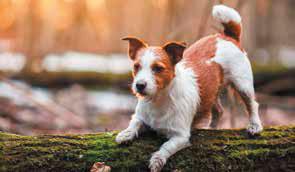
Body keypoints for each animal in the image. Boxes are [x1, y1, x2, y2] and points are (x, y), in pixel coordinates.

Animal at [115, 4, 264, 171]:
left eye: (158, 68)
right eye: (136, 66)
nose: (139, 85)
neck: (158, 100)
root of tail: (226, 36)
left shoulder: (180, 136)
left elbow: (166, 147)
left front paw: (157, 160)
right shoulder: (140, 117)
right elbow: (134, 123)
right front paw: (126, 134)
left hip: (242, 84)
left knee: (252, 104)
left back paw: (255, 125)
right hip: (211, 91)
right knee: (219, 110)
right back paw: (212, 127)